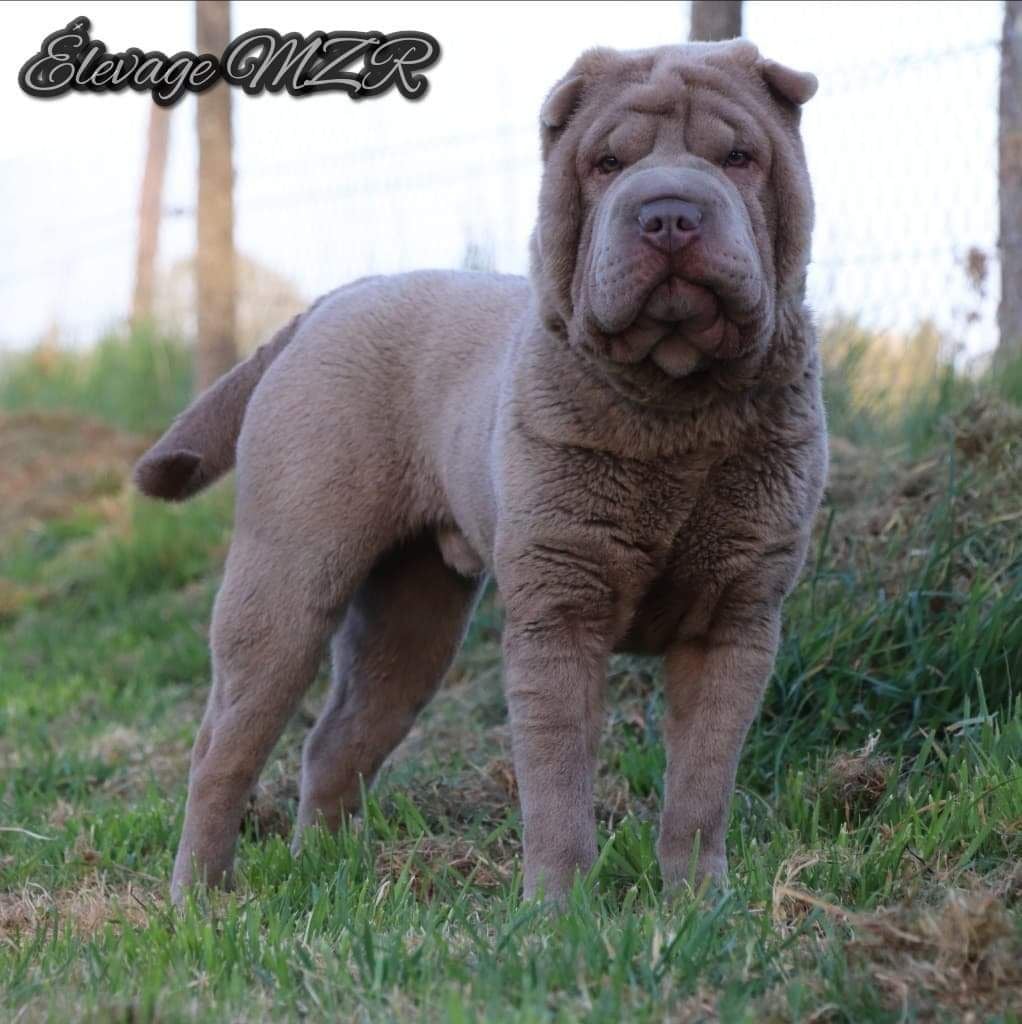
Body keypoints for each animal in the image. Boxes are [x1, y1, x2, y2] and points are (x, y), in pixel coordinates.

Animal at [135, 39, 826, 905]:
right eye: (606, 164)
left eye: (738, 158)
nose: (668, 214)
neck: (677, 406)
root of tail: (332, 301)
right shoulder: (559, 610)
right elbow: (558, 777)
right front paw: (558, 909)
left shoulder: (735, 619)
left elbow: (702, 784)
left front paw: (699, 904)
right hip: (287, 576)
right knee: (225, 745)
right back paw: (197, 896)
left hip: (412, 613)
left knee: (338, 738)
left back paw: (325, 872)